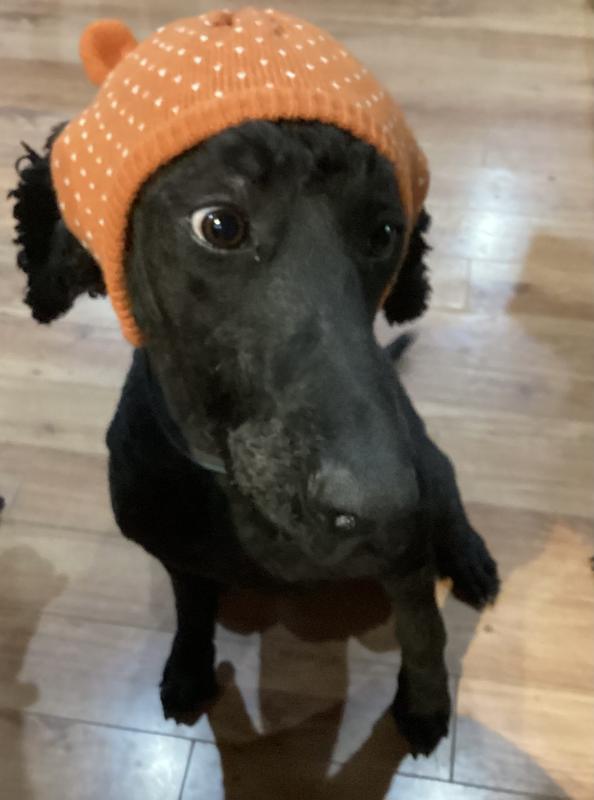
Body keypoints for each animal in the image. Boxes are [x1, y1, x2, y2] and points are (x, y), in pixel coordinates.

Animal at [10, 118, 500, 758]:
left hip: (433, 471)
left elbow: (424, 632)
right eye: (218, 225)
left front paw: (424, 703)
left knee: (451, 499)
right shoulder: (179, 557)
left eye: (385, 232)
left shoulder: (407, 558)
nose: (383, 503)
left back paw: (469, 557)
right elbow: (192, 611)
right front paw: (190, 668)